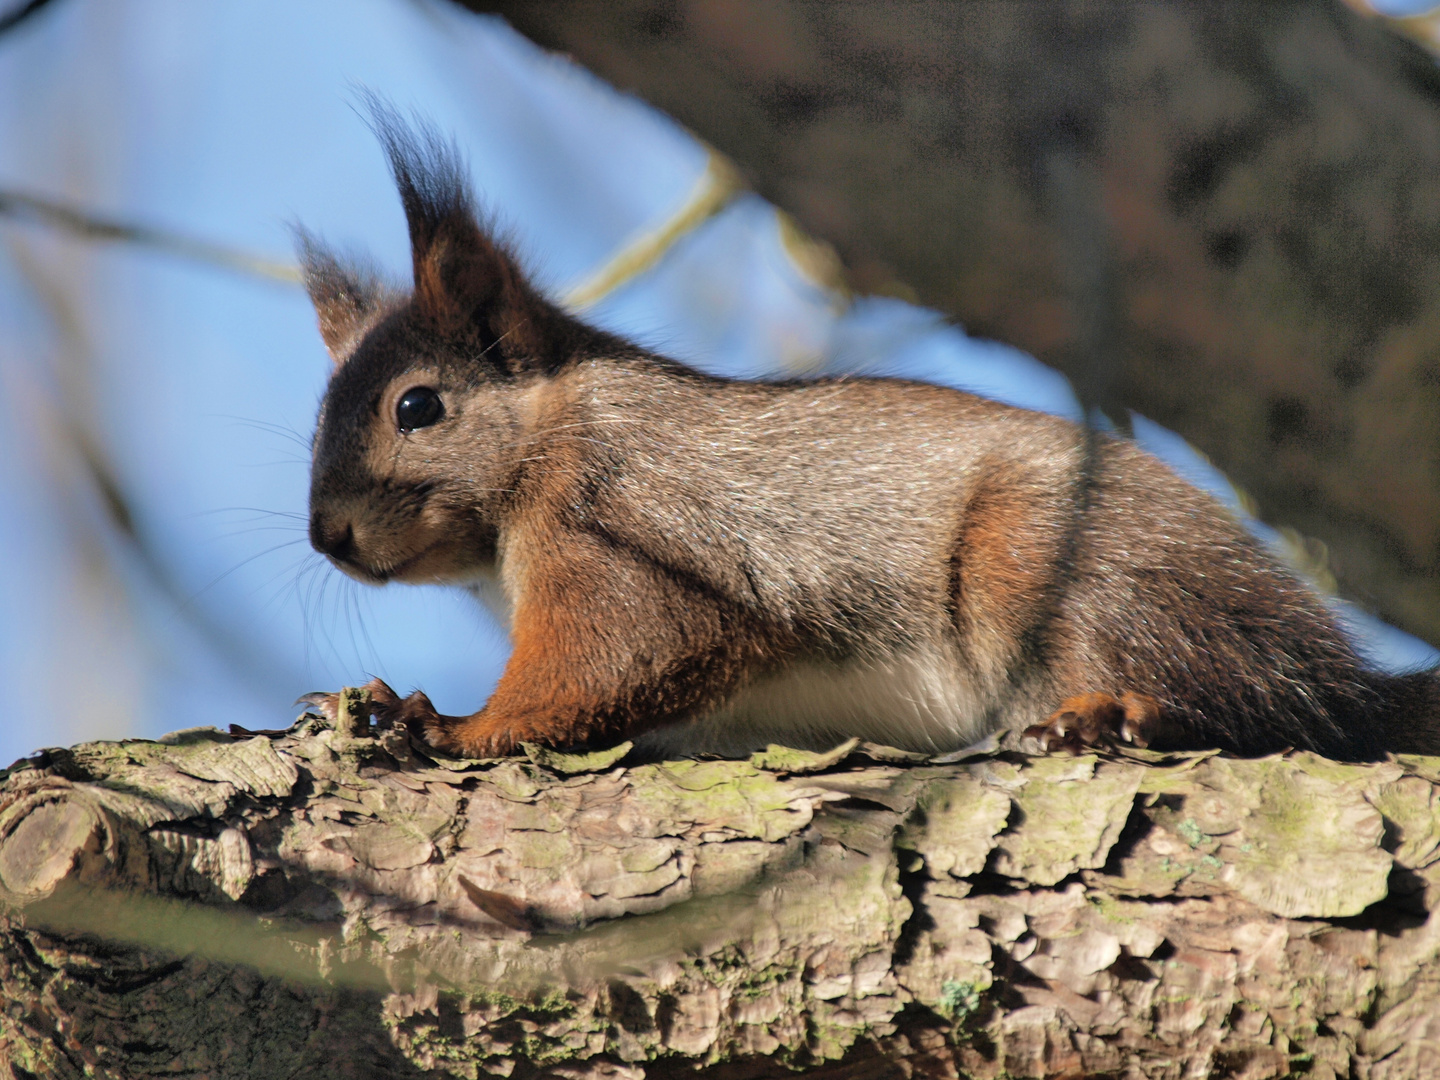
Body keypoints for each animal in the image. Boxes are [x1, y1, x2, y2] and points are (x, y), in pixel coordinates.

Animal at [298, 112, 1434, 760]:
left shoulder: (623, 529)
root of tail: (1341, 668)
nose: (327, 539)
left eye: (416, 407)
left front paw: (438, 722)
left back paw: (1119, 714)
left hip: (1061, 559)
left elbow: (611, 659)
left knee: (1259, 706)